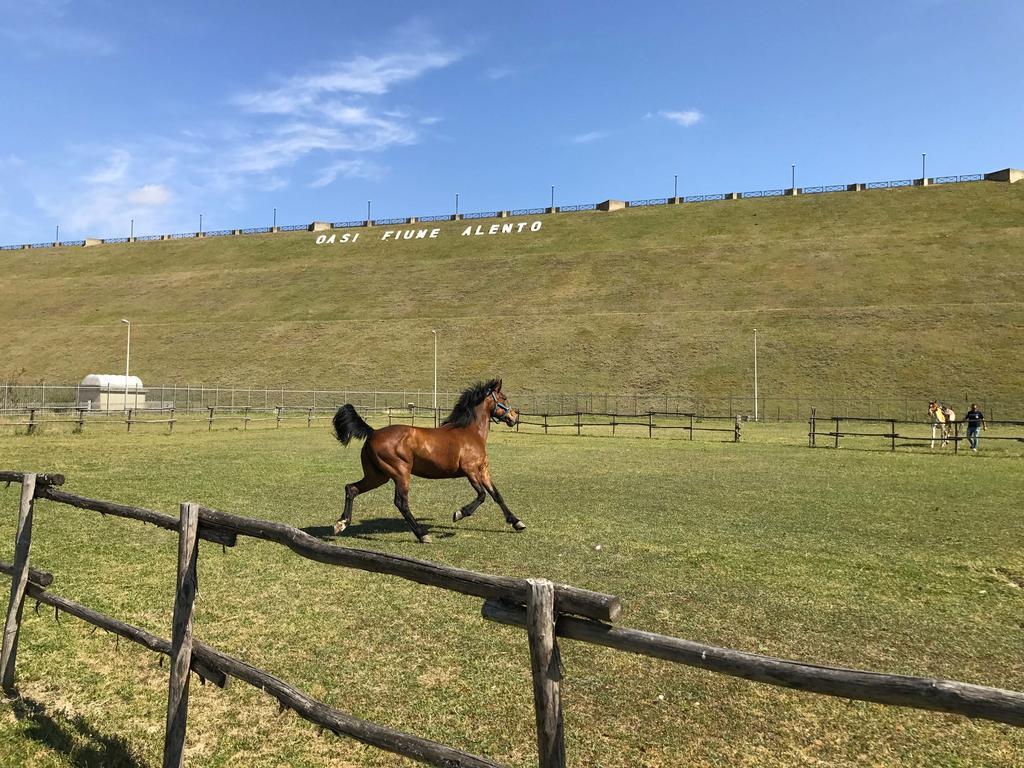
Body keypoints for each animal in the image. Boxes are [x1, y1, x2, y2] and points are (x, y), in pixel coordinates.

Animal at [333, 378, 528, 540]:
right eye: (504, 398)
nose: (514, 417)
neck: (470, 432)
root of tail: (373, 432)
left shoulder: (483, 470)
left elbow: (496, 495)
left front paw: (517, 522)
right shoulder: (470, 470)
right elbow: (481, 496)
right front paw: (459, 514)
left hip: (378, 476)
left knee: (351, 488)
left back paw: (341, 524)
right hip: (400, 473)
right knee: (401, 502)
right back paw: (422, 534)